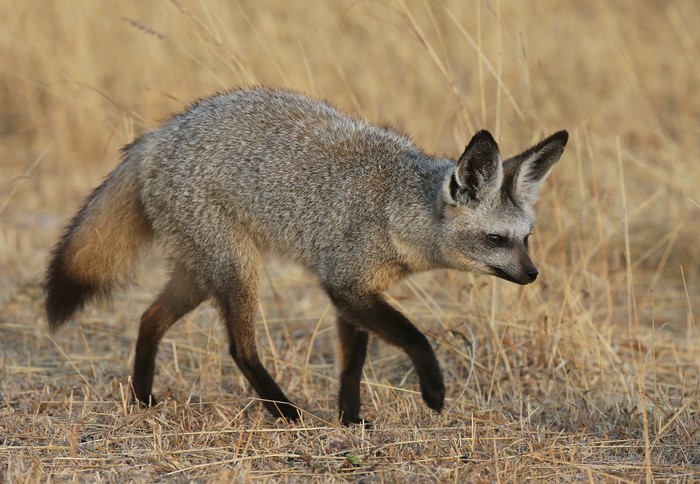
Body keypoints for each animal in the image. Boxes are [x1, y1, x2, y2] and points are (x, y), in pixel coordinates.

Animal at [45, 87, 568, 425]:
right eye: (497, 240)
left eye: (526, 238)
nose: (532, 274)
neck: (395, 205)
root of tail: (158, 134)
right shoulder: (345, 284)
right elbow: (415, 338)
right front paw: (434, 391)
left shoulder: (357, 291)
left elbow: (352, 364)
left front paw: (350, 419)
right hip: (235, 271)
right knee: (239, 348)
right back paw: (282, 410)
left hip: (200, 273)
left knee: (148, 319)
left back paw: (142, 398)